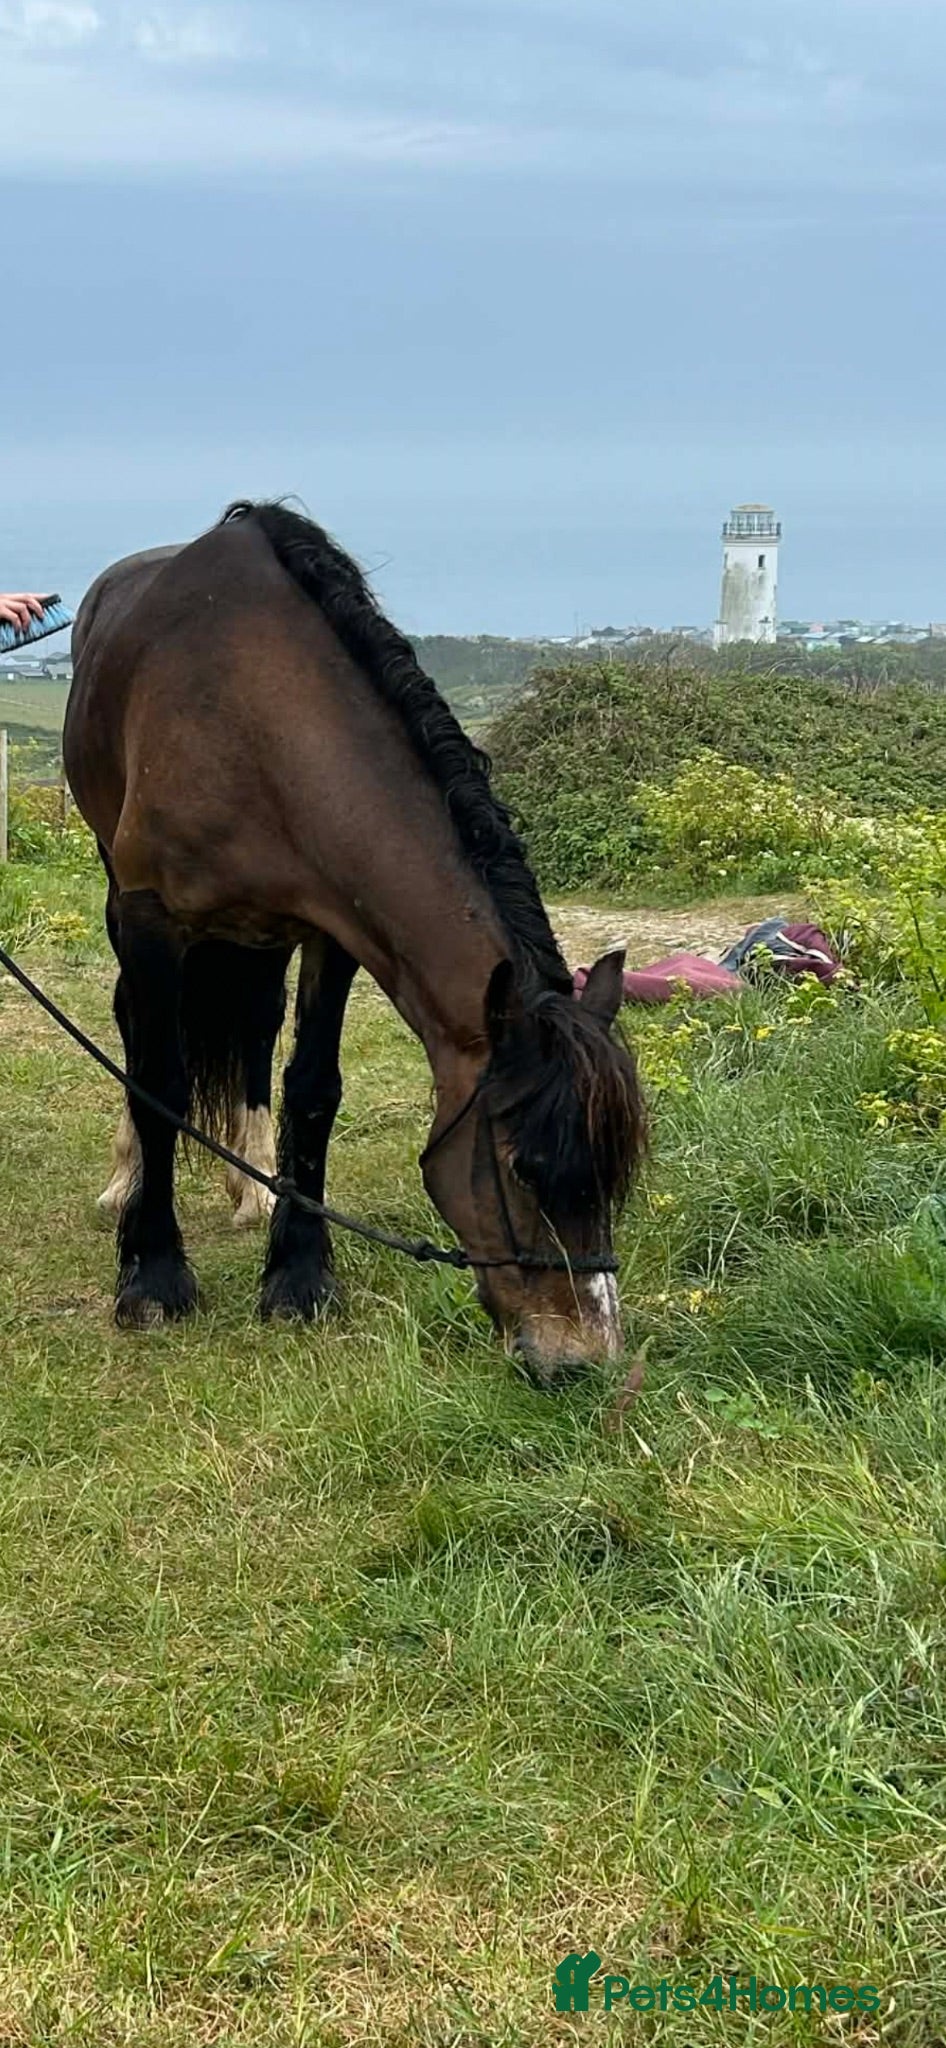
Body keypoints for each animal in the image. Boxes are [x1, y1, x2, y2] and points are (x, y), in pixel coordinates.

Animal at [64, 502, 646, 1387]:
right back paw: (127, 1178)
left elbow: (312, 1087)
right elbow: (158, 1080)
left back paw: (250, 1186)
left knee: (256, 1024)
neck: (252, 715)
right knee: (137, 1027)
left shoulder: (332, 929)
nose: (582, 1360)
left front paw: (299, 1276)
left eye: (613, 1177)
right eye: (523, 1168)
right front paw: (153, 1276)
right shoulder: (149, 916)